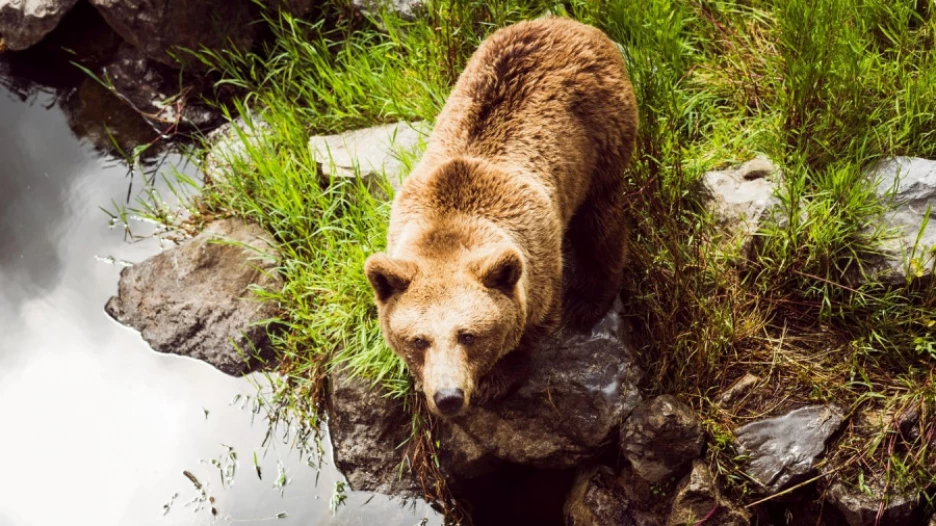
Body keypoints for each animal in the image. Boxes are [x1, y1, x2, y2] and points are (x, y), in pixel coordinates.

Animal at [364, 17, 638, 417]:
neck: (450, 221)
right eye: (418, 340)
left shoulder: (537, 260)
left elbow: (532, 327)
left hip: (601, 137)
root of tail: (567, 22)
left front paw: (496, 380)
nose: (448, 397)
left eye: (468, 335)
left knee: (599, 222)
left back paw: (587, 301)